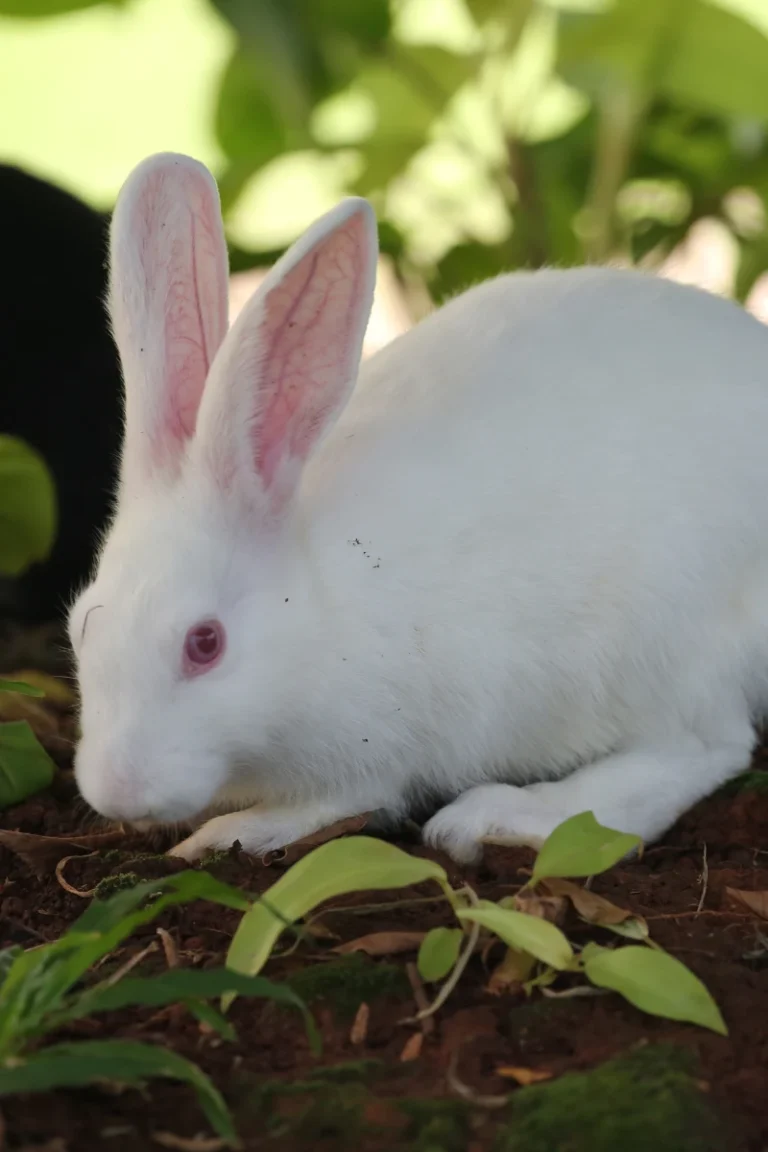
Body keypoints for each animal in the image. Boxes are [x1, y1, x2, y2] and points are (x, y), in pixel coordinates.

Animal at [68, 150, 768, 865]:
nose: (117, 791)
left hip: (666, 644)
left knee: (699, 752)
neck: (316, 608)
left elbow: (331, 806)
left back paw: (497, 817)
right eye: (82, 623)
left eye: (205, 643)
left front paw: (226, 835)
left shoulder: (369, 753)